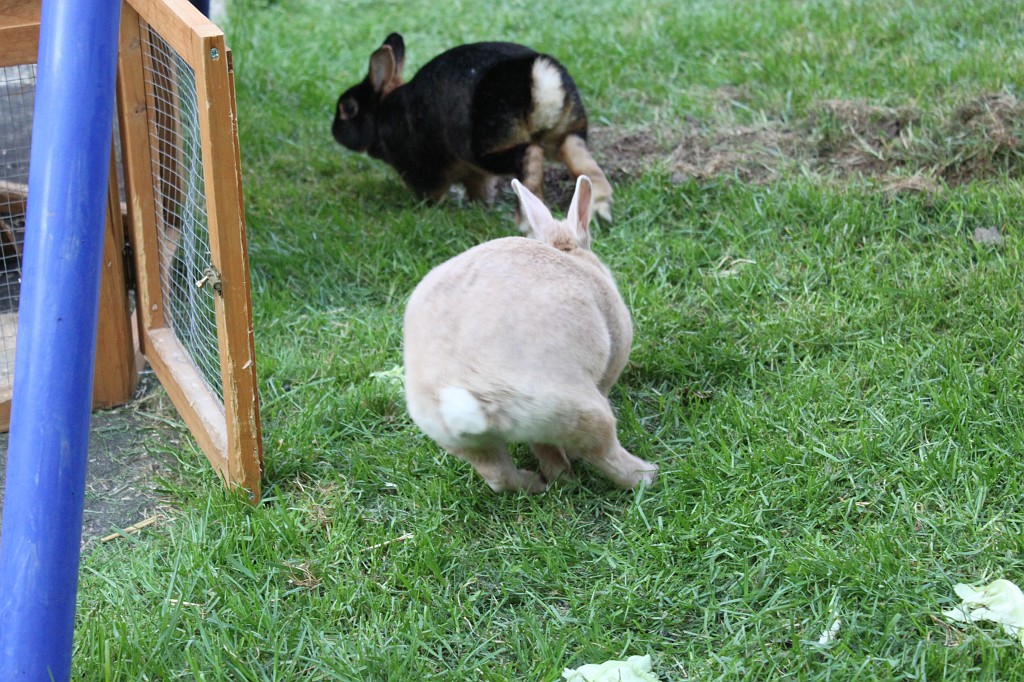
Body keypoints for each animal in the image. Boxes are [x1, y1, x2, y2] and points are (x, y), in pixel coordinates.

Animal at [332, 32, 613, 232]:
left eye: (348, 107)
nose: (335, 131)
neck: (382, 113)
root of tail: (538, 78)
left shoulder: (421, 169)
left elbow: (432, 190)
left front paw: (427, 207)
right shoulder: (475, 174)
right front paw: (480, 206)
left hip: (486, 149)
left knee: (530, 154)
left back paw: (525, 222)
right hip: (565, 133)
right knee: (577, 155)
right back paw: (600, 207)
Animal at [402, 175, 657, 493]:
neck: (567, 253)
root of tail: (469, 397)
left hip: (477, 444)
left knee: (503, 476)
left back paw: (536, 482)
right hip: (578, 409)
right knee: (602, 454)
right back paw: (648, 474)